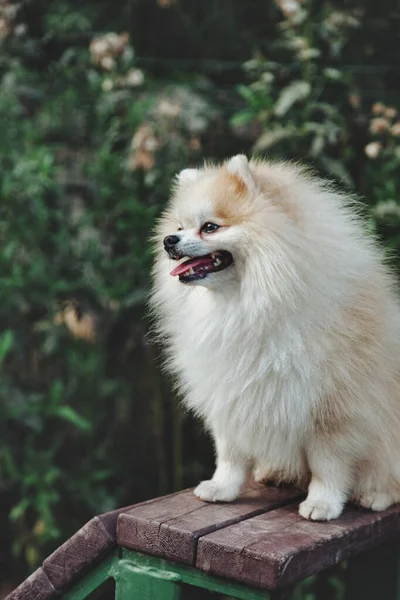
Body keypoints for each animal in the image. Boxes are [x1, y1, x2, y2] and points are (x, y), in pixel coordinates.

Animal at [149, 155, 400, 520]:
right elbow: (229, 453)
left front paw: (322, 503)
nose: (169, 240)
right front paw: (222, 488)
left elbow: (328, 465)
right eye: (179, 227)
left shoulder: (332, 409)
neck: (244, 304)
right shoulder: (229, 394)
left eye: (209, 227)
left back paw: (376, 495)